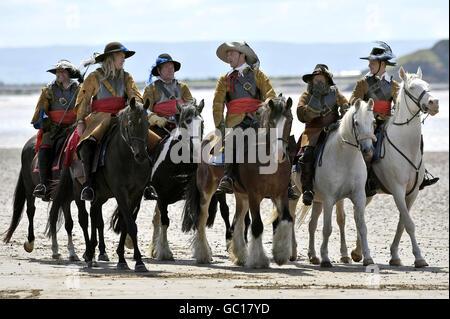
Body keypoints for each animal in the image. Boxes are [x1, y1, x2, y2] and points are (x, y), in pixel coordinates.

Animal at [48, 98, 151, 272]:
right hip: (78, 190)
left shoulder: (136, 194)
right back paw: (89, 255)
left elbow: (126, 224)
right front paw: (138, 261)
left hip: (101, 195)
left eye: (147, 124)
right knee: (83, 219)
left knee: (94, 214)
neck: (128, 158)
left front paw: (123, 259)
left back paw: (94, 251)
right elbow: (130, 224)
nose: (141, 155)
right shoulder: (120, 192)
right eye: (130, 124)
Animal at [183, 95, 296, 268]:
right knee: (202, 219)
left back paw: (240, 254)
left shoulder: (280, 193)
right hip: (207, 189)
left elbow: (286, 219)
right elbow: (257, 225)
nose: (280, 154)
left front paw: (281, 254)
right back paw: (203, 254)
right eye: (271, 123)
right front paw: (258, 260)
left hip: (242, 195)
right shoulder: (255, 195)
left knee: (238, 220)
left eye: (289, 120)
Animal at [290, 99, 378, 268]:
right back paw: (292, 253)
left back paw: (313, 256)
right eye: (356, 123)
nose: (368, 150)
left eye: (373, 122)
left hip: (316, 200)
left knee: (312, 224)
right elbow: (327, 229)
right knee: (291, 218)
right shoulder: (329, 199)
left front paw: (368, 258)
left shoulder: (359, 197)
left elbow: (362, 227)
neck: (346, 158)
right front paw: (325, 258)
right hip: (294, 194)